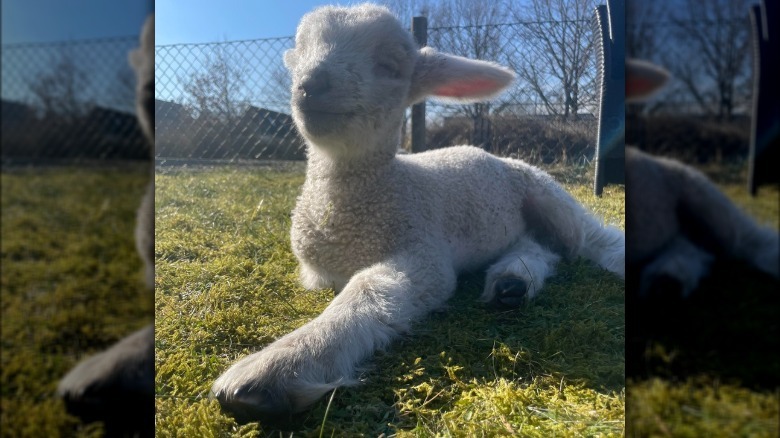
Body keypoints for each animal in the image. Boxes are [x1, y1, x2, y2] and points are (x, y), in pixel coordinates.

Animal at [211, 3, 625, 418]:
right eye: (300, 51)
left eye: (390, 65)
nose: (311, 85)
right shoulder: (315, 273)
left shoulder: (423, 248)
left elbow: (370, 289)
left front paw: (277, 367)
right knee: (539, 245)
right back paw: (512, 282)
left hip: (548, 195)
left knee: (585, 241)